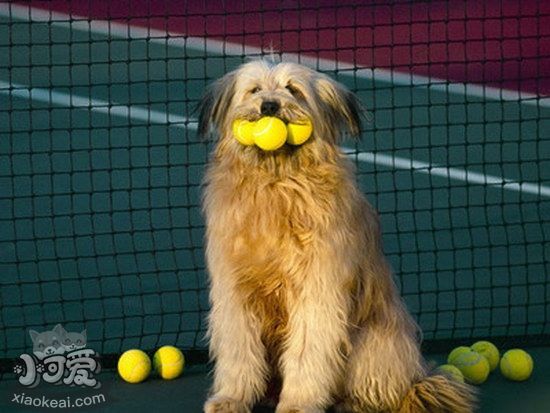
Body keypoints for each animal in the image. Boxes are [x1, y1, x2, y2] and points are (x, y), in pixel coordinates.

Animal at [199, 60, 478, 412]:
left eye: (293, 89)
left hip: (373, 342)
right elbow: (239, 349)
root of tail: (417, 377)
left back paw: (353, 402)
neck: (277, 183)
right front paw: (232, 397)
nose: (269, 106)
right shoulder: (234, 292)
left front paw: (299, 402)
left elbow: (308, 349)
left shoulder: (318, 289)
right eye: (254, 90)